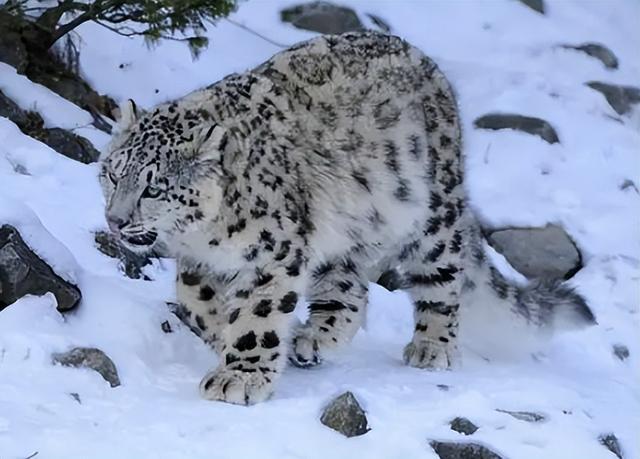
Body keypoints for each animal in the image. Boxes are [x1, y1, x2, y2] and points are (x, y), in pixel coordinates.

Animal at [100, 31, 596, 406]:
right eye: (112, 172)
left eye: (154, 187)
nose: (115, 220)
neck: (203, 236)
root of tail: (429, 67)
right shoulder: (199, 262)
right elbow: (193, 300)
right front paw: (225, 337)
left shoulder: (273, 254)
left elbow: (258, 313)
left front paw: (240, 375)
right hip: (343, 232)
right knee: (350, 291)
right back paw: (313, 339)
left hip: (432, 221)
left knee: (441, 280)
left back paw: (430, 346)